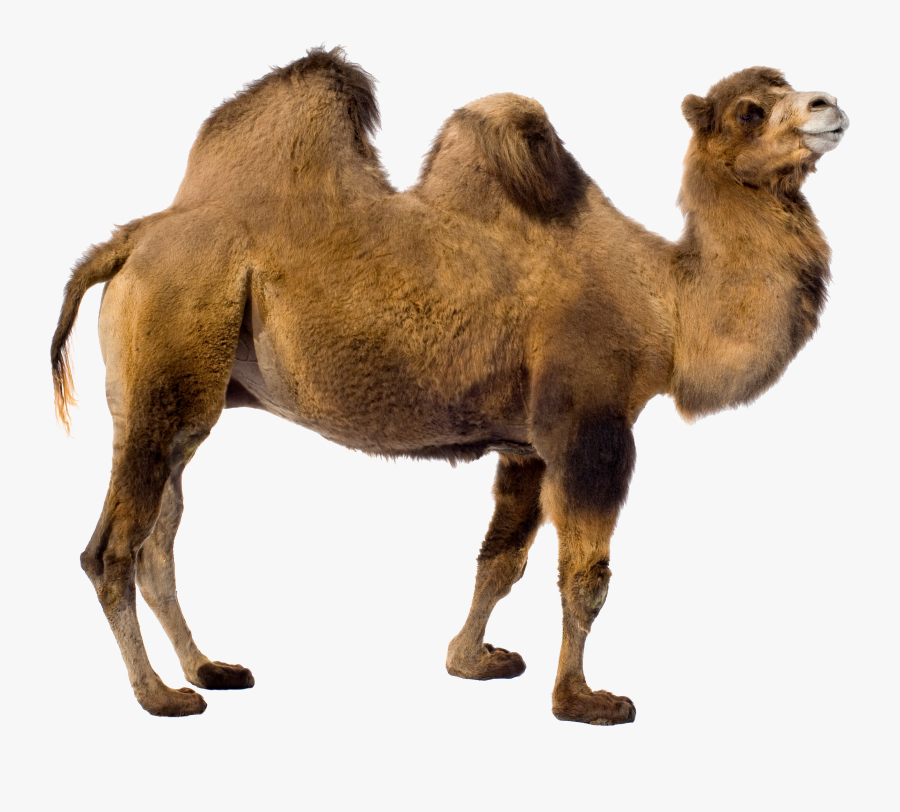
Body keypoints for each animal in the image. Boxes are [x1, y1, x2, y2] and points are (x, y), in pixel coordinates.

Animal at [51, 48, 848, 723]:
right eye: (750, 110)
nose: (829, 104)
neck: (668, 302)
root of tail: (127, 242)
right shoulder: (590, 425)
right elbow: (585, 576)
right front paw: (581, 700)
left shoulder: (528, 443)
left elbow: (501, 560)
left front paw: (471, 660)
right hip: (172, 342)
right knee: (111, 551)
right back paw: (159, 696)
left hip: (176, 395)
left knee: (159, 538)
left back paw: (208, 669)